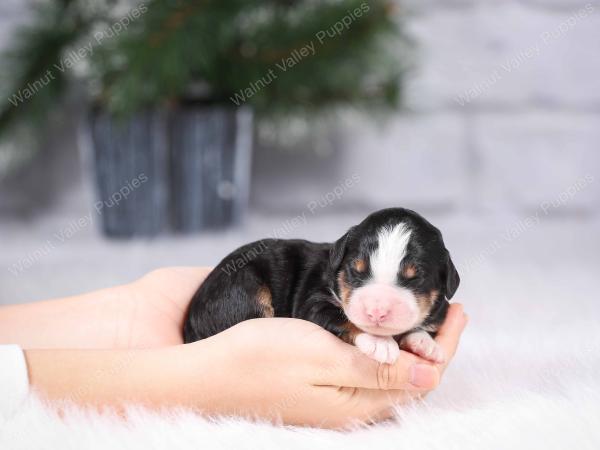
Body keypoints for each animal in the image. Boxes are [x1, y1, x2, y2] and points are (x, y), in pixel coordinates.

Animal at [183, 209, 460, 364]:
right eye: (356, 270)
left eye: (415, 278)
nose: (377, 312)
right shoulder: (314, 302)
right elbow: (343, 319)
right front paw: (380, 344)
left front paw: (425, 344)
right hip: (241, 289)